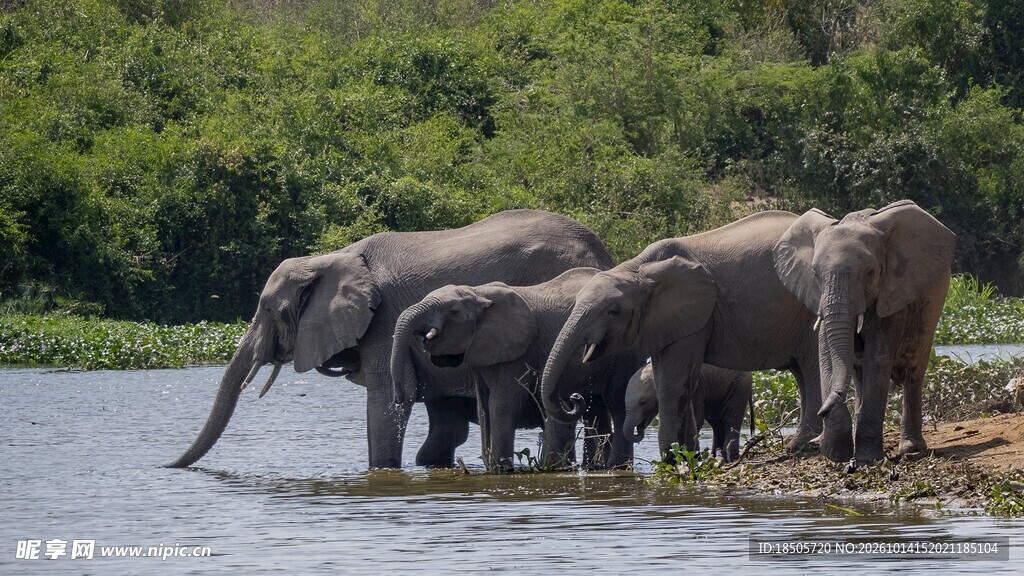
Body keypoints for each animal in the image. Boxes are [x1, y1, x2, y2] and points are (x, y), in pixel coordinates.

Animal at [167, 210, 614, 469]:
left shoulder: (381, 323)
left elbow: (385, 404)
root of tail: (603, 251)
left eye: (269, 311)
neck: (331, 257)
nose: (166, 466)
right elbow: (443, 425)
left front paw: (382, 469)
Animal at [390, 268, 643, 471]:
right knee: (596, 412)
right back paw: (595, 466)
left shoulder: (517, 351)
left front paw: (500, 469)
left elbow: (500, 405)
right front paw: (491, 465)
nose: (399, 397)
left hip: (625, 353)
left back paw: (615, 466)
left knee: (618, 404)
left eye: (453, 310)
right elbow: (484, 407)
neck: (479, 292)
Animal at [623, 362, 753, 461]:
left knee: (731, 419)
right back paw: (716, 455)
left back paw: (729, 456)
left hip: (740, 385)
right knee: (716, 423)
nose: (640, 427)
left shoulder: (696, 387)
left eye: (643, 402)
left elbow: (697, 419)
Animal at [773, 200, 955, 465]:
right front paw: (835, 453)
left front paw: (867, 459)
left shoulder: (891, 292)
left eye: (870, 272)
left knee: (913, 370)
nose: (822, 410)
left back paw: (911, 448)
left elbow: (877, 359)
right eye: (815, 273)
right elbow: (826, 356)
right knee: (860, 375)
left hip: (932, 305)